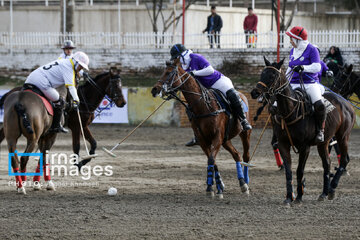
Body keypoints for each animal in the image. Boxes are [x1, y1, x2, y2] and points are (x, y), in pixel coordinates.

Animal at [153, 58, 253, 199]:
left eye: (168, 73)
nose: (154, 90)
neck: (203, 105)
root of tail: (241, 94)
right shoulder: (203, 140)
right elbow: (212, 161)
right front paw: (218, 187)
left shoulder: (217, 137)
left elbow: (211, 159)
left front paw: (211, 188)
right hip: (226, 139)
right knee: (236, 155)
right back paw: (242, 182)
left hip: (245, 134)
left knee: (245, 156)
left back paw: (246, 184)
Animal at [253, 56, 354, 204]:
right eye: (262, 73)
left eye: (273, 75)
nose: (255, 93)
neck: (290, 111)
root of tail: (347, 103)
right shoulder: (283, 144)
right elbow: (289, 171)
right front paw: (289, 197)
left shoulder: (304, 147)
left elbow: (300, 170)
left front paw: (299, 196)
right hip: (324, 143)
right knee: (327, 163)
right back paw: (324, 193)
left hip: (343, 136)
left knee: (344, 160)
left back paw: (332, 189)